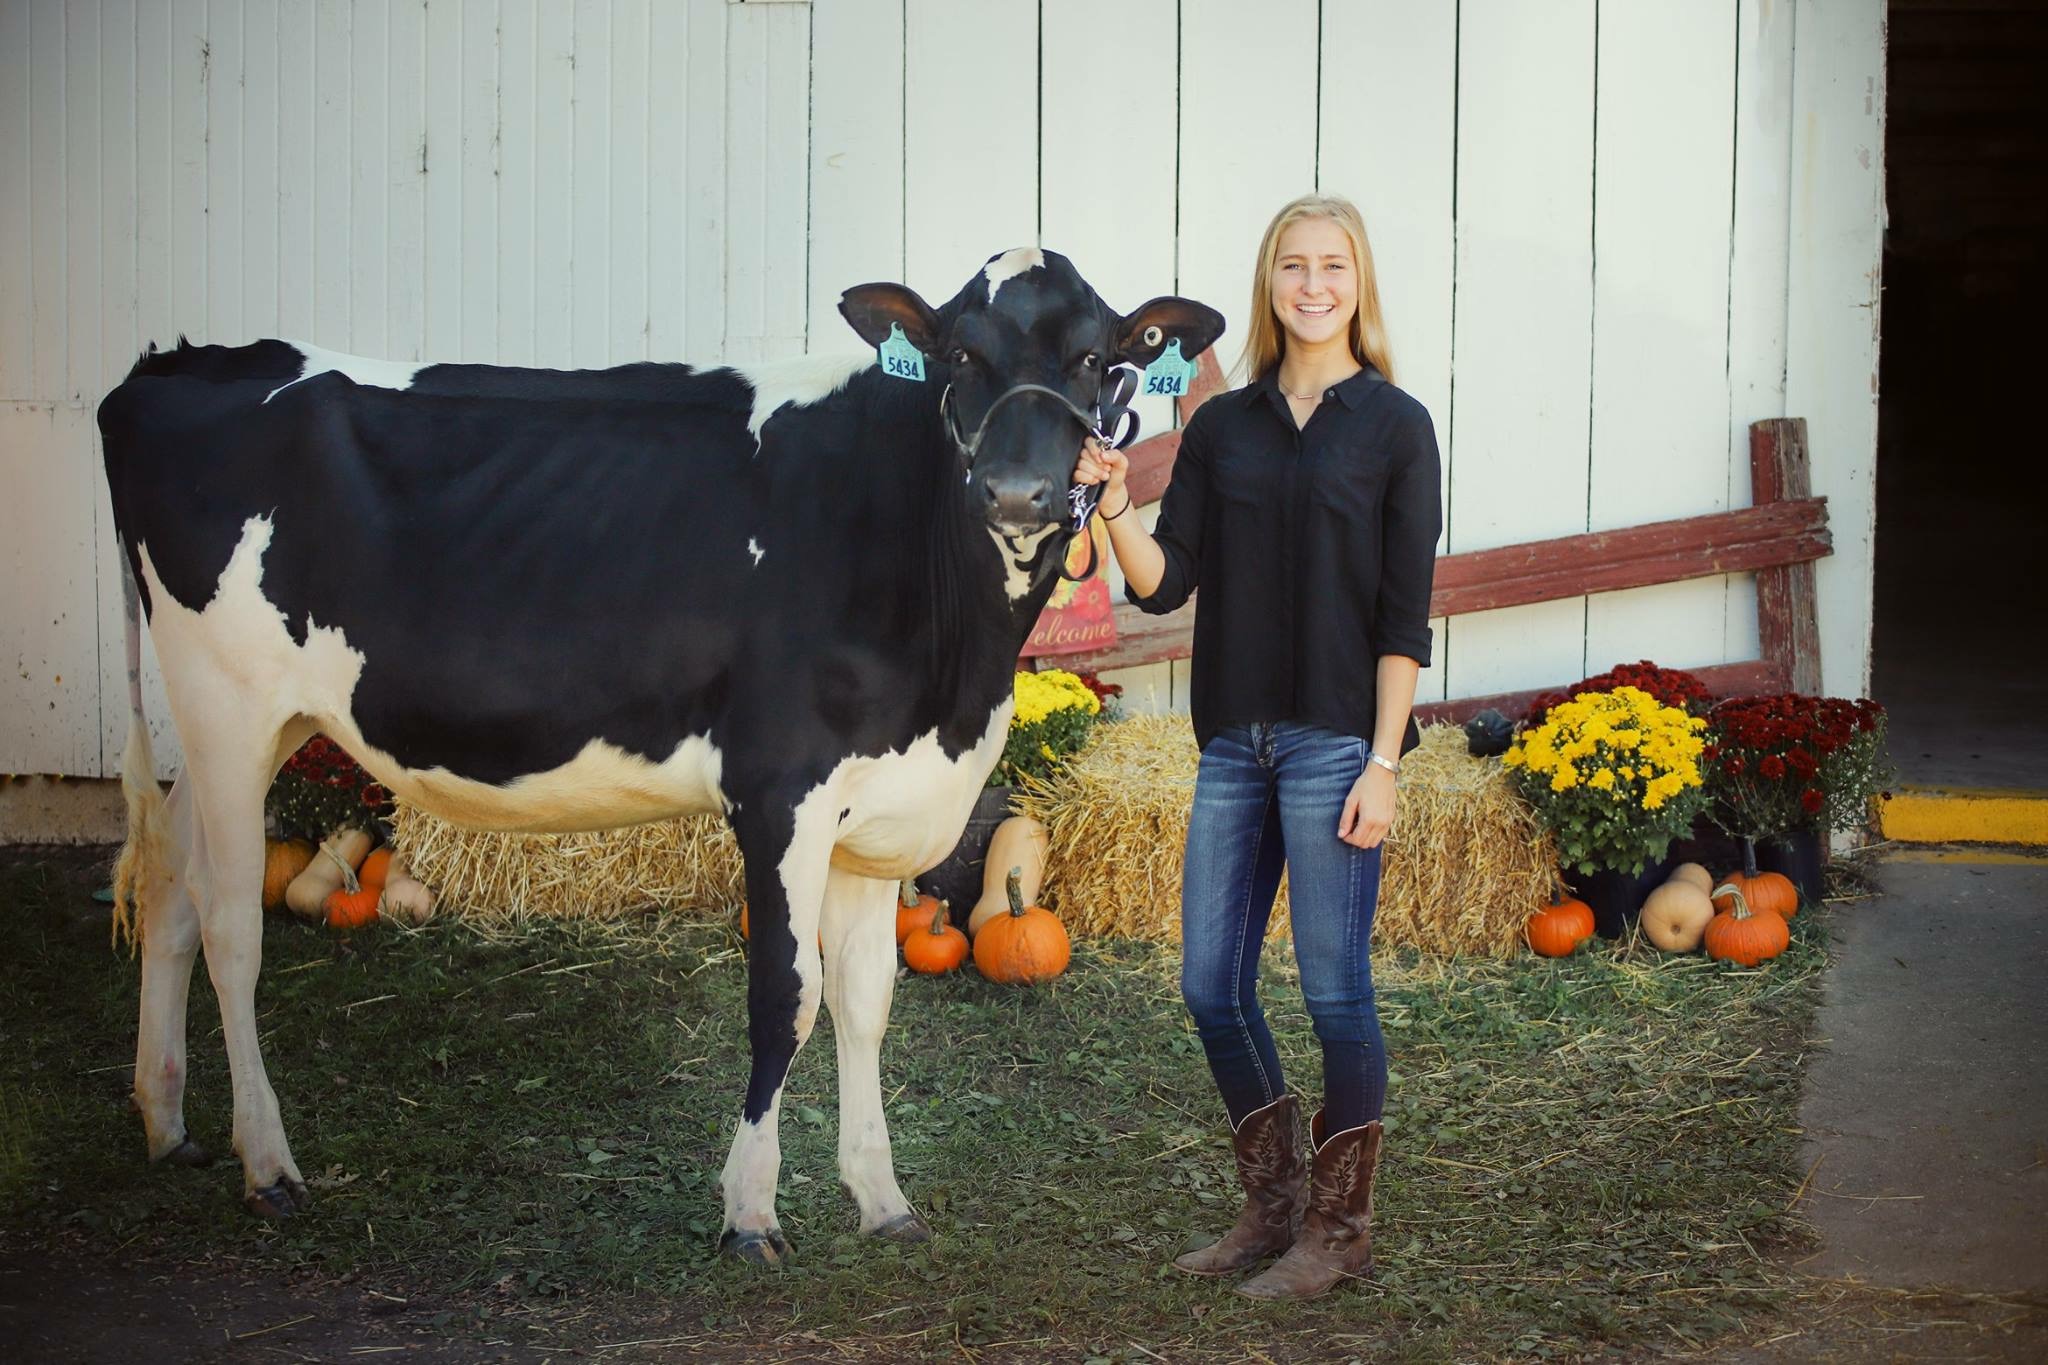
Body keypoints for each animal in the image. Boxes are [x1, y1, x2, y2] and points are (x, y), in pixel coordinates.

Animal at [103, 250, 1220, 1268]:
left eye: (1095, 357)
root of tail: (177, 362)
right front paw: (750, 1212)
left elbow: (865, 999)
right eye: (955, 353)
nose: (1018, 491)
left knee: (168, 883)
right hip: (226, 706)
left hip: (262, 722)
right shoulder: (780, 789)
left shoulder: (875, 800)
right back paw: (266, 1163)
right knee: (230, 923)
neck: (956, 675)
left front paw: (881, 1197)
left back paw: (166, 1121)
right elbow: (786, 997)